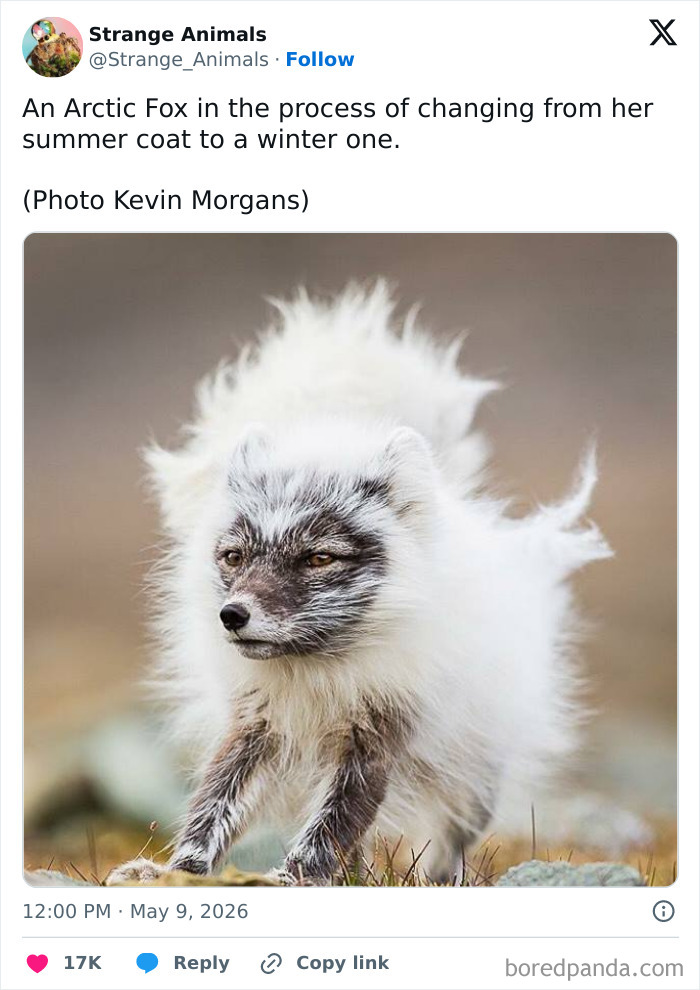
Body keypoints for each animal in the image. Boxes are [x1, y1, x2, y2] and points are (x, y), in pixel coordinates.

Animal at [107, 282, 612, 886]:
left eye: (319, 557)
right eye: (233, 556)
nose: (232, 615)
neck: (317, 674)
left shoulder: (375, 740)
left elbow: (328, 830)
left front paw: (289, 880)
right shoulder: (255, 726)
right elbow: (213, 806)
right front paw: (178, 871)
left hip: (473, 769)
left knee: (450, 834)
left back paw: (438, 878)